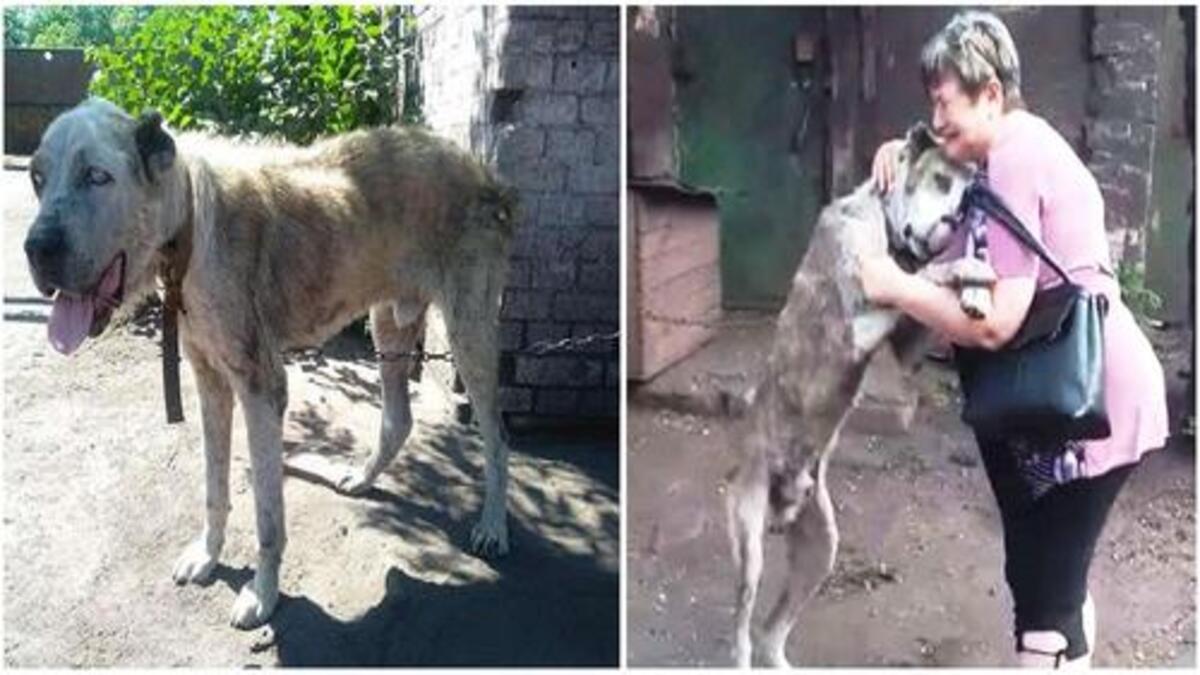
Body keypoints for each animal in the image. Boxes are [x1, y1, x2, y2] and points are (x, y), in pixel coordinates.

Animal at [24, 97, 520, 629]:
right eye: (36, 178)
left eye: (97, 176)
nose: (35, 250)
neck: (189, 227)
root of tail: (481, 168)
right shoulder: (210, 382)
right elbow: (214, 486)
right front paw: (208, 555)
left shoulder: (262, 390)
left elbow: (267, 516)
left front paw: (262, 595)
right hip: (388, 324)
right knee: (398, 420)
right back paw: (363, 478)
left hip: (469, 333)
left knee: (497, 435)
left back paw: (493, 525)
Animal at [720, 123, 993, 662]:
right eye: (940, 180)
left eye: (967, 194)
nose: (957, 217)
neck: (883, 223)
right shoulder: (858, 324)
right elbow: (920, 277)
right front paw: (965, 272)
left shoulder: (909, 343)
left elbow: (927, 293)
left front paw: (975, 285)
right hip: (749, 548)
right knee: (741, 631)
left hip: (820, 550)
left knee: (770, 631)